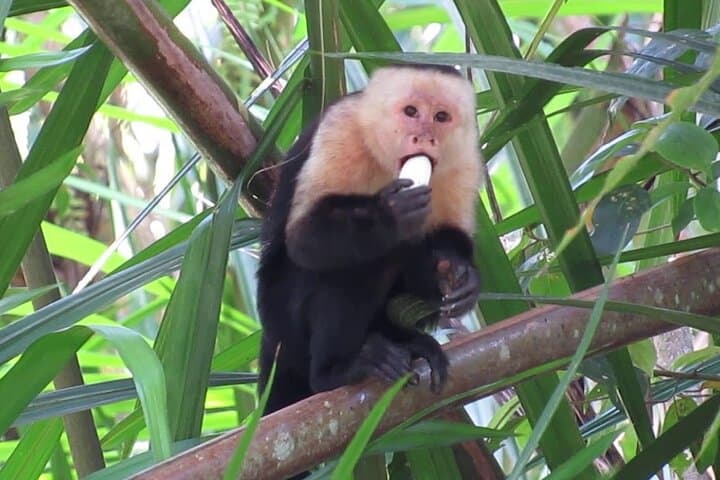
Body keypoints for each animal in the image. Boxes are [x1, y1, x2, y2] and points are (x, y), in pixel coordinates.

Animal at [256, 63, 483, 416]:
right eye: (411, 112)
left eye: (441, 116)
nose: (424, 137)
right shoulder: (342, 128)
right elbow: (305, 240)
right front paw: (390, 215)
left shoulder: (465, 156)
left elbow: (448, 237)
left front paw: (462, 275)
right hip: (285, 323)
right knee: (355, 265)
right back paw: (336, 369)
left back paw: (403, 339)